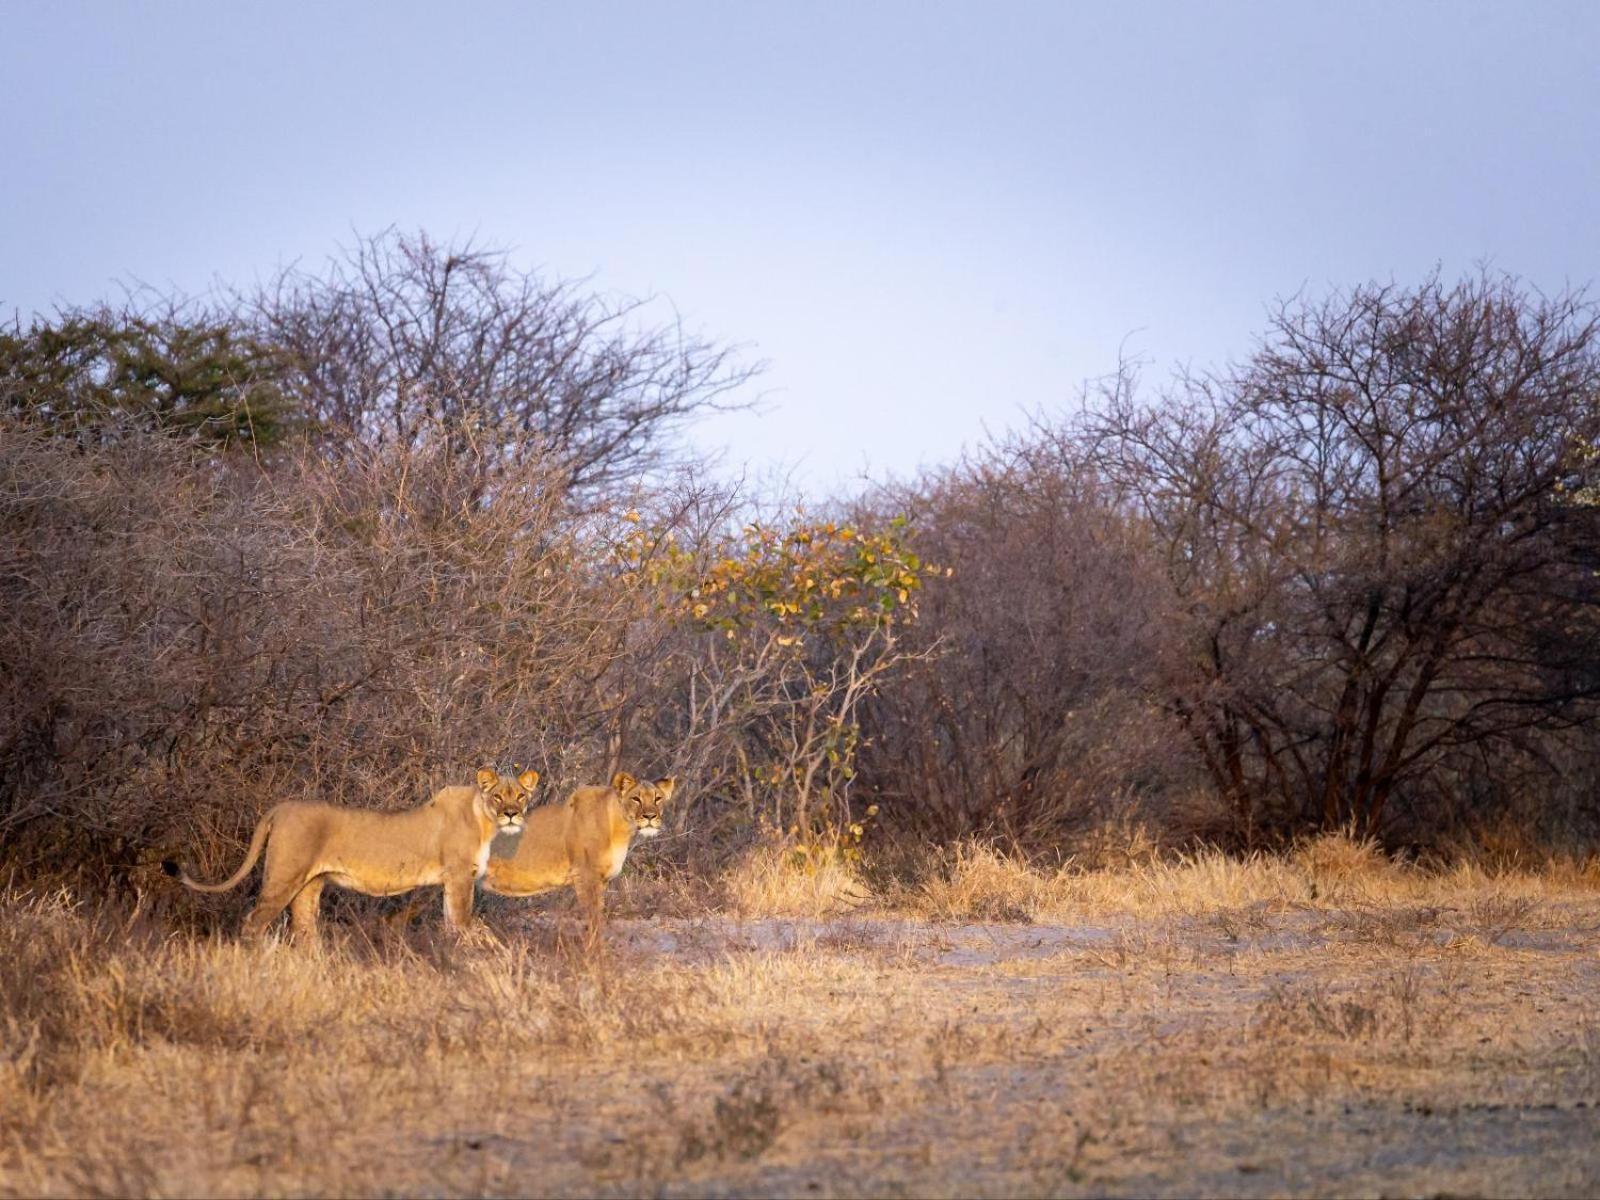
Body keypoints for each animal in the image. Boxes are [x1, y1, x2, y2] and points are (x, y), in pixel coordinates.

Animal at [164, 771, 537, 940]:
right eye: (498, 796)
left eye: (520, 795)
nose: (511, 814)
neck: (484, 820)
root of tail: (280, 808)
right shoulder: (459, 877)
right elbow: (465, 924)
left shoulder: (451, 881)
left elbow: (453, 923)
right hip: (283, 875)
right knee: (253, 922)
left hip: (309, 885)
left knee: (304, 930)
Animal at [476, 780, 672, 947]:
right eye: (636, 798)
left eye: (658, 798)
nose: (650, 816)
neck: (621, 828)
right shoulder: (586, 877)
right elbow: (594, 919)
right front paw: (596, 953)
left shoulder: (601, 881)